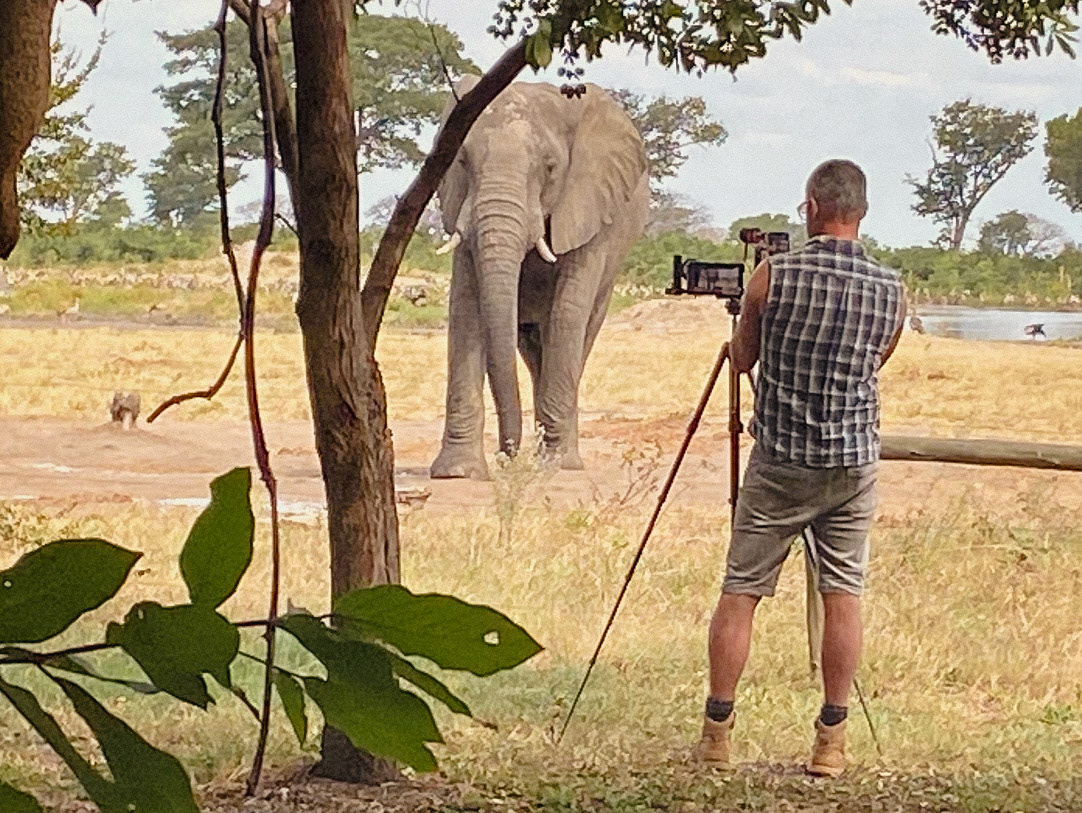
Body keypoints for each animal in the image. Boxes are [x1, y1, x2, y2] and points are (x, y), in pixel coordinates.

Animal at [430, 78, 650, 480]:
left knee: (576, 338)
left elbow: (568, 312)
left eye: (549, 168)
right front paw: (458, 473)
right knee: (533, 351)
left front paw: (555, 465)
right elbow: (466, 311)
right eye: (462, 162)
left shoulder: (591, 209)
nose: (507, 456)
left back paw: (565, 460)